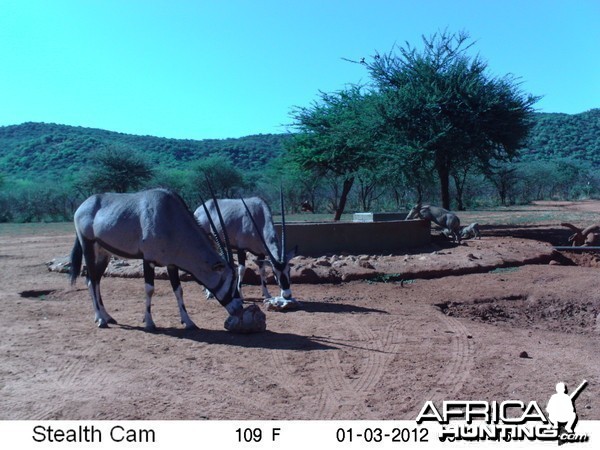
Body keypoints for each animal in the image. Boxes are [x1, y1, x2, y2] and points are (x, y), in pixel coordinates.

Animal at [71, 188, 245, 328]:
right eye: (230, 280)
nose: (239, 308)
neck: (170, 217)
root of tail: (83, 206)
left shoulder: (171, 264)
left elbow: (178, 290)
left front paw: (188, 322)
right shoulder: (148, 260)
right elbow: (149, 289)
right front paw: (149, 322)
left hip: (104, 253)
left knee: (94, 280)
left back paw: (106, 317)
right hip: (88, 247)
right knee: (92, 280)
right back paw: (101, 320)